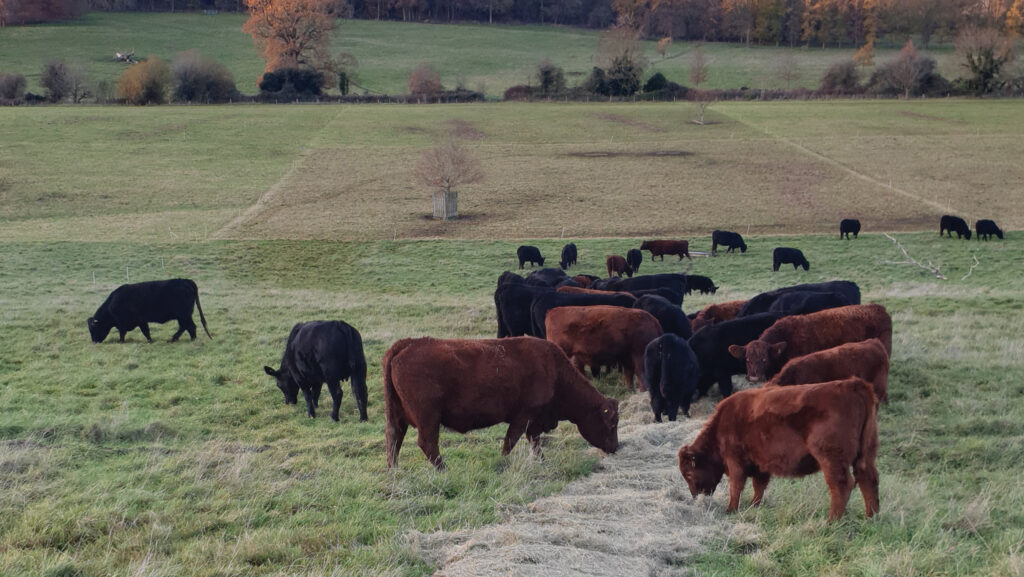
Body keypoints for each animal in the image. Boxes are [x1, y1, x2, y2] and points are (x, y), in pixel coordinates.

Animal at [385, 338, 618, 469]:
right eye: (611, 423)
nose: (615, 448)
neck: (554, 370)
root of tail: (405, 344)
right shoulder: (524, 417)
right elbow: (511, 441)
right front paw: (503, 462)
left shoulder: (532, 422)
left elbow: (534, 441)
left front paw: (542, 461)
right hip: (429, 418)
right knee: (427, 443)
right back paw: (443, 468)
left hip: (397, 416)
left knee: (394, 438)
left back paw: (393, 470)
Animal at [679, 377, 880, 520]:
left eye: (688, 473)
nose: (695, 496)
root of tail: (853, 384)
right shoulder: (760, 465)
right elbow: (758, 487)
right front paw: (754, 506)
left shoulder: (735, 461)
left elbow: (736, 487)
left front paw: (730, 510)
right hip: (865, 455)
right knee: (868, 478)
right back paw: (871, 517)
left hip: (831, 458)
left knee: (842, 484)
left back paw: (831, 521)